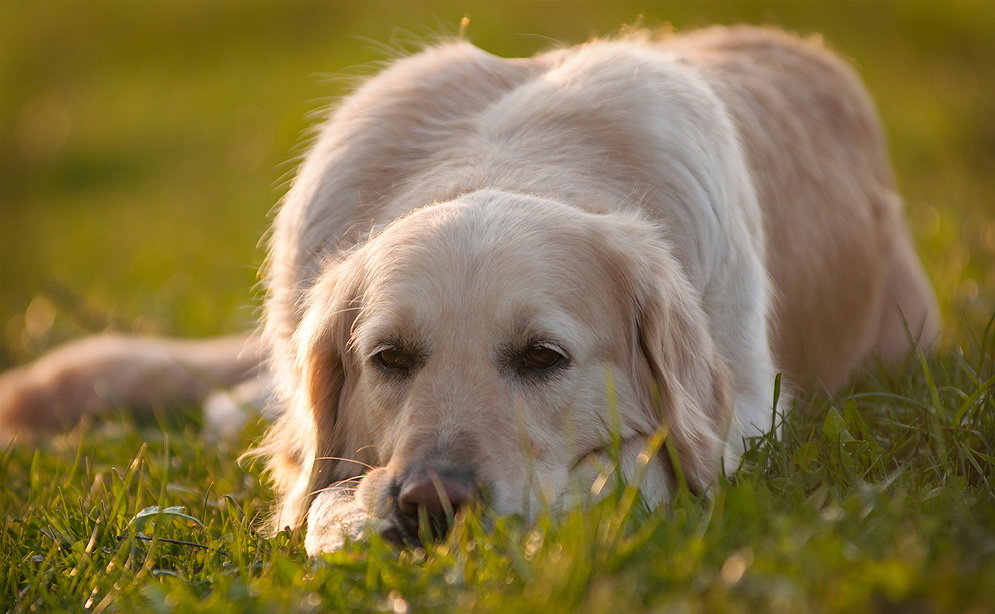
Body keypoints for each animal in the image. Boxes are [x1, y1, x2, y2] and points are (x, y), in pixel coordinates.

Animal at [0, 27, 936, 560]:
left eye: (542, 357)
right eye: (388, 358)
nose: (430, 503)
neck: (512, 155)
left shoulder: (743, 421)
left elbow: (643, 467)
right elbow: (312, 484)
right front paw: (341, 515)